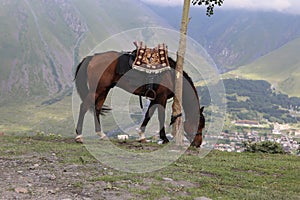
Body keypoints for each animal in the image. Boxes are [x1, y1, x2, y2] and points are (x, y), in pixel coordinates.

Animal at [74, 49, 205, 147]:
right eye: (199, 124)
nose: (198, 144)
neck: (172, 76)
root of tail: (92, 57)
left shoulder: (155, 98)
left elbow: (148, 115)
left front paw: (141, 136)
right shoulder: (161, 98)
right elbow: (160, 117)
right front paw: (164, 138)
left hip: (104, 90)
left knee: (97, 108)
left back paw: (101, 134)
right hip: (97, 90)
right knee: (84, 106)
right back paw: (79, 136)